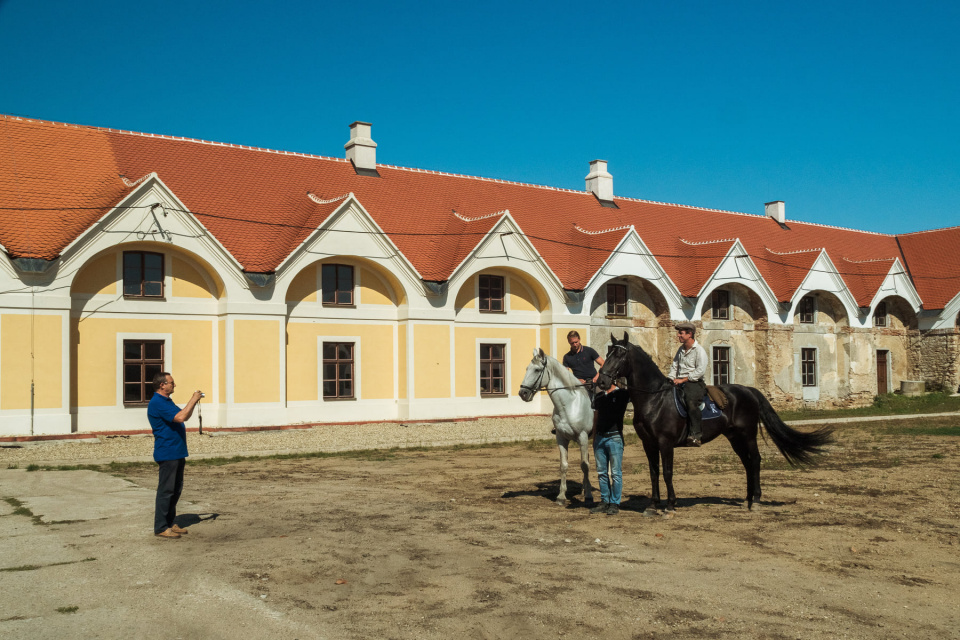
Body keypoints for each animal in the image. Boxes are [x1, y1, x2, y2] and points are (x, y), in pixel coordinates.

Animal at [516, 350, 592, 504]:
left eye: (537, 370)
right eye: (527, 368)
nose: (523, 393)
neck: (570, 405)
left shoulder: (583, 437)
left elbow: (584, 465)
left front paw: (588, 496)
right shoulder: (561, 438)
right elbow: (564, 465)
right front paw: (561, 496)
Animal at [600, 332, 832, 512]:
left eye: (619, 355)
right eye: (608, 353)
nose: (602, 381)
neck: (654, 399)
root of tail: (749, 391)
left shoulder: (665, 443)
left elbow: (667, 472)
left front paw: (670, 505)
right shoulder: (648, 443)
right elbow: (654, 472)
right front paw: (653, 505)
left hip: (748, 434)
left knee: (755, 461)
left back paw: (756, 500)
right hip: (734, 437)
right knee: (747, 463)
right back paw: (747, 500)